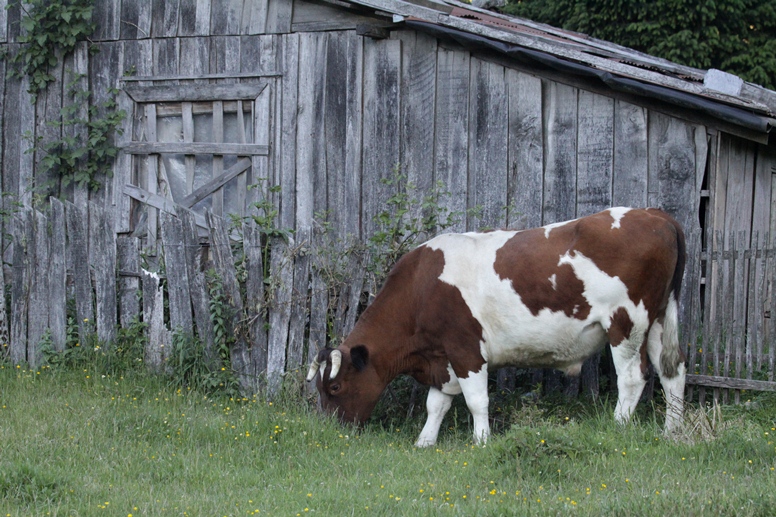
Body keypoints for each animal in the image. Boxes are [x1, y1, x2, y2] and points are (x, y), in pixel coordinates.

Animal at [306, 206, 688, 444]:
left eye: (335, 387)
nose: (329, 430)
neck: (421, 287)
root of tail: (653, 213)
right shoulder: (441, 358)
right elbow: (437, 404)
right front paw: (424, 441)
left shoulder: (465, 349)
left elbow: (476, 400)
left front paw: (481, 441)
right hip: (659, 319)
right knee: (673, 371)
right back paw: (673, 431)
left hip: (626, 322)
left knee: (633, 376)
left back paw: (618, 426)